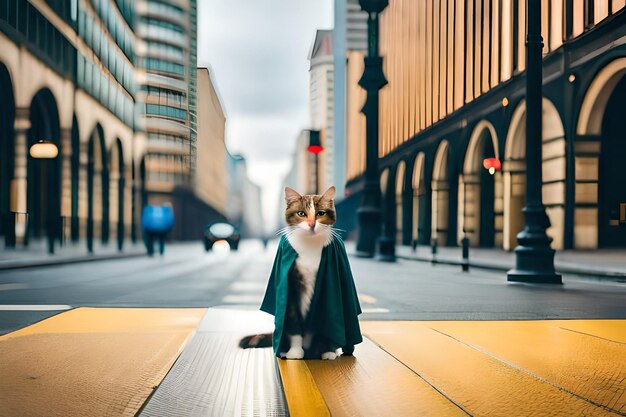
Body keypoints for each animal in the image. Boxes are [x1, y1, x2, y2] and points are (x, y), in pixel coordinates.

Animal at [239, 184, 356, 360]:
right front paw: (295, 352)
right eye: (301, 213)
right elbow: (294, 322)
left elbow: (326, 316)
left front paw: (327, 350)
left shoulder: (329, 281)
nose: (312, 224)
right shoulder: (291, 285)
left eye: (321, 213)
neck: (310, 245)